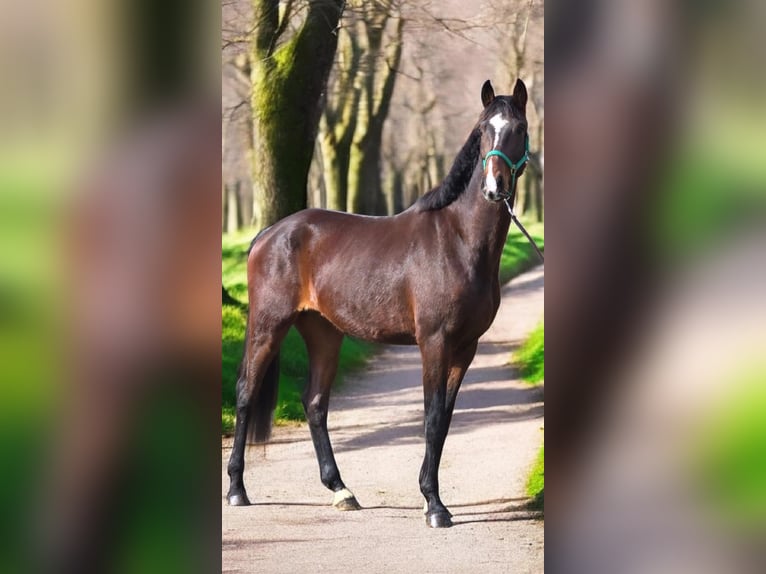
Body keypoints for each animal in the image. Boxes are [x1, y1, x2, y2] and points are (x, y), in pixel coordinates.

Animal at [226, 79, 531, 528]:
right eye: (482, 131)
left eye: (519, 129)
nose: (494, 188)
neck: (458, 240)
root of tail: (268, 234)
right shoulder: (434, 343)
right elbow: (432, 416)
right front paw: (434, 505)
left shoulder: (466, 348)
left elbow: (444, 421)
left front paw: (431, 497)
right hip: (269, 324)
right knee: (247, 392)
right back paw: (237, 489)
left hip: (324, 333)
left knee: (314, 402)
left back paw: (341, 490)